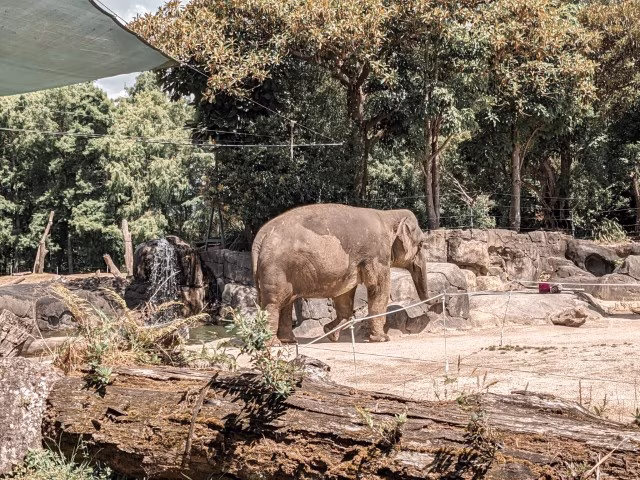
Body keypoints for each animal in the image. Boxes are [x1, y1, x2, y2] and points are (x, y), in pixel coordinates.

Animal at [251, 203, 429, 344]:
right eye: (421, 244)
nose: (428, 304)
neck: (388, 215)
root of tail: (261, 235)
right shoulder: (377, 255)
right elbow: (379, 288)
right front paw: (383, 339)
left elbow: (345, 293)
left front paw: (330, 333)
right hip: (276, 268)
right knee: (274, 302)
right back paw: (273, 344)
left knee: (286, 301)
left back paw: (288, 340)